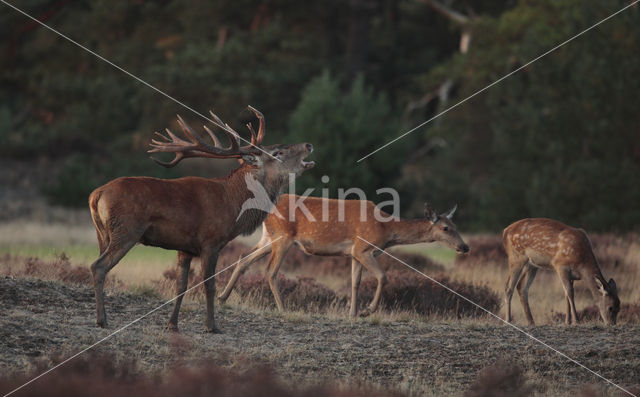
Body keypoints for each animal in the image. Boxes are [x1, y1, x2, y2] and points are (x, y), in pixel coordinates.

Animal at [88, 105, 316, 332]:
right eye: (278, 152)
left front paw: (172, 324)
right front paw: (211, 325)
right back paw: (102, 320)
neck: (233, 205)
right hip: (126, 231)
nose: (308, 144)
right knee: (98, 266)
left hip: (103, 235)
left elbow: (181, 285)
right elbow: (209, 285)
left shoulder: (185, 248)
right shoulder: (211, 242)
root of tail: (96, 194)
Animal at [218, 196, 468, 318]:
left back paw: (222, 297)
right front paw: (367, 311)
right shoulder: (363, 248)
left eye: (456, 225)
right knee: (270, 270)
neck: (386, 231)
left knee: (243, 258)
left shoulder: (354, 253)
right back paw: (282, 308)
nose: (464, 247)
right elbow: (383, 276)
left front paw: (353, 312)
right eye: (446, 228)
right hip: (283, 237)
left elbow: (355, 282)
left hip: (268, 237)